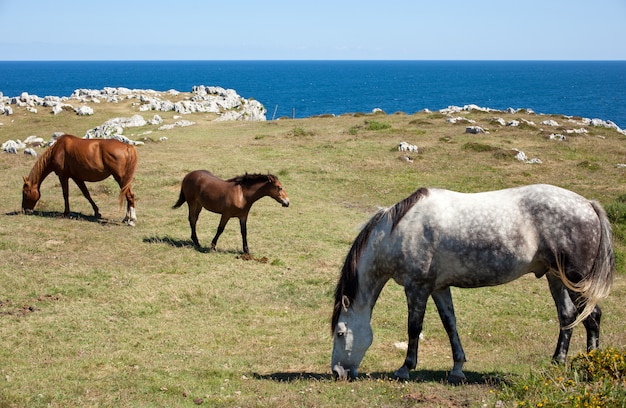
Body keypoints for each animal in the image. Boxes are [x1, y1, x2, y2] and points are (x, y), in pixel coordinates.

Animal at [330, 184, 612, 382]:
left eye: (340, 332)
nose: (336, 372)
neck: (397, 232)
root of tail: (588, 205)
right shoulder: (438, 288)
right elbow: (450, 325)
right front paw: (457, 369)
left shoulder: (417, 288)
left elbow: (414, 327)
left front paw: (405, 368)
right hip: (556, 278)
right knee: (568, 317)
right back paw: (557, 362)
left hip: (577, 280)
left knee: (592, 317)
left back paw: (591, 367)